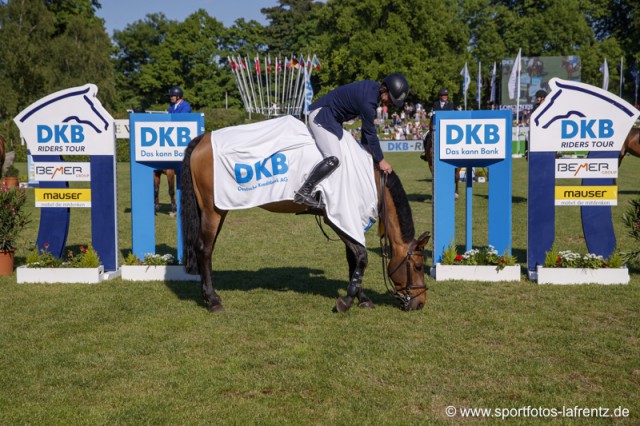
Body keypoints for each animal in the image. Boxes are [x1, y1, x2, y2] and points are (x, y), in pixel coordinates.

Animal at [180, 133, 430, 312]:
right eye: (418, 266)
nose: (420, 302)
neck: (370, 177)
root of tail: (204, 138)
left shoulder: (346, 220)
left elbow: (353, 257)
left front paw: (361, 297)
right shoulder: (337, 217)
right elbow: (360, 256)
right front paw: (347, 300)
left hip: (217, 209)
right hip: (213, 210)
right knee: (204, 249)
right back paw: (213, 300)